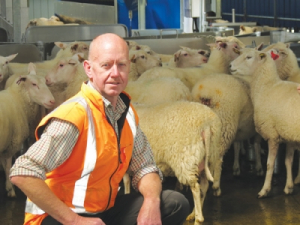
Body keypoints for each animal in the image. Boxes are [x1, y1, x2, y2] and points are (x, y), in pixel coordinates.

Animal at [0, 62, 55, 196]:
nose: (52, 101)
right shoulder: (12, 143)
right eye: (34, 84)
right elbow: (7, 165)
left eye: (45, 82)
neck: (19, 98)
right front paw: (10, 188)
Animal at [231, 48, 300, 198]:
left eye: (249, 57)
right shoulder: (288, 134)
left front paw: (264, 190)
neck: (266, 87)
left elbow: (269, 164)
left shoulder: (272, 134)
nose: (230, 65)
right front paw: (289, 187)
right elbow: (288, 161)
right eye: (239, 53)